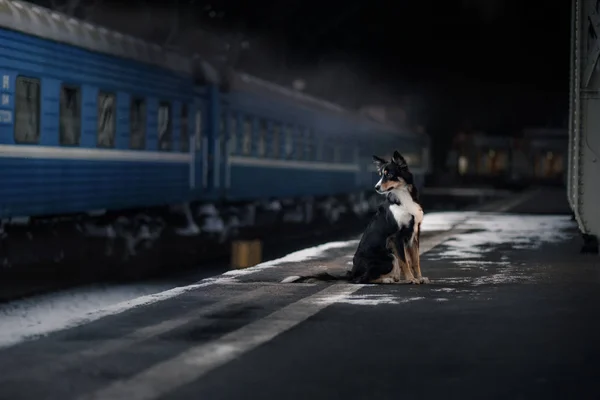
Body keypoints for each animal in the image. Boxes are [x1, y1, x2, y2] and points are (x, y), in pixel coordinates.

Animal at [282, 150, 426, 284]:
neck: (402, 196)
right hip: (389, 256)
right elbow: (404, 261)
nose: (376, 187)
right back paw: (386, 279)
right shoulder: (396, 237)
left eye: (389, 174)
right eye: (380, 175)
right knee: (362, 279)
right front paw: (411, 279)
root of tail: (352, 271)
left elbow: (415, 260)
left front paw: (419, 278)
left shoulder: (414, 233)